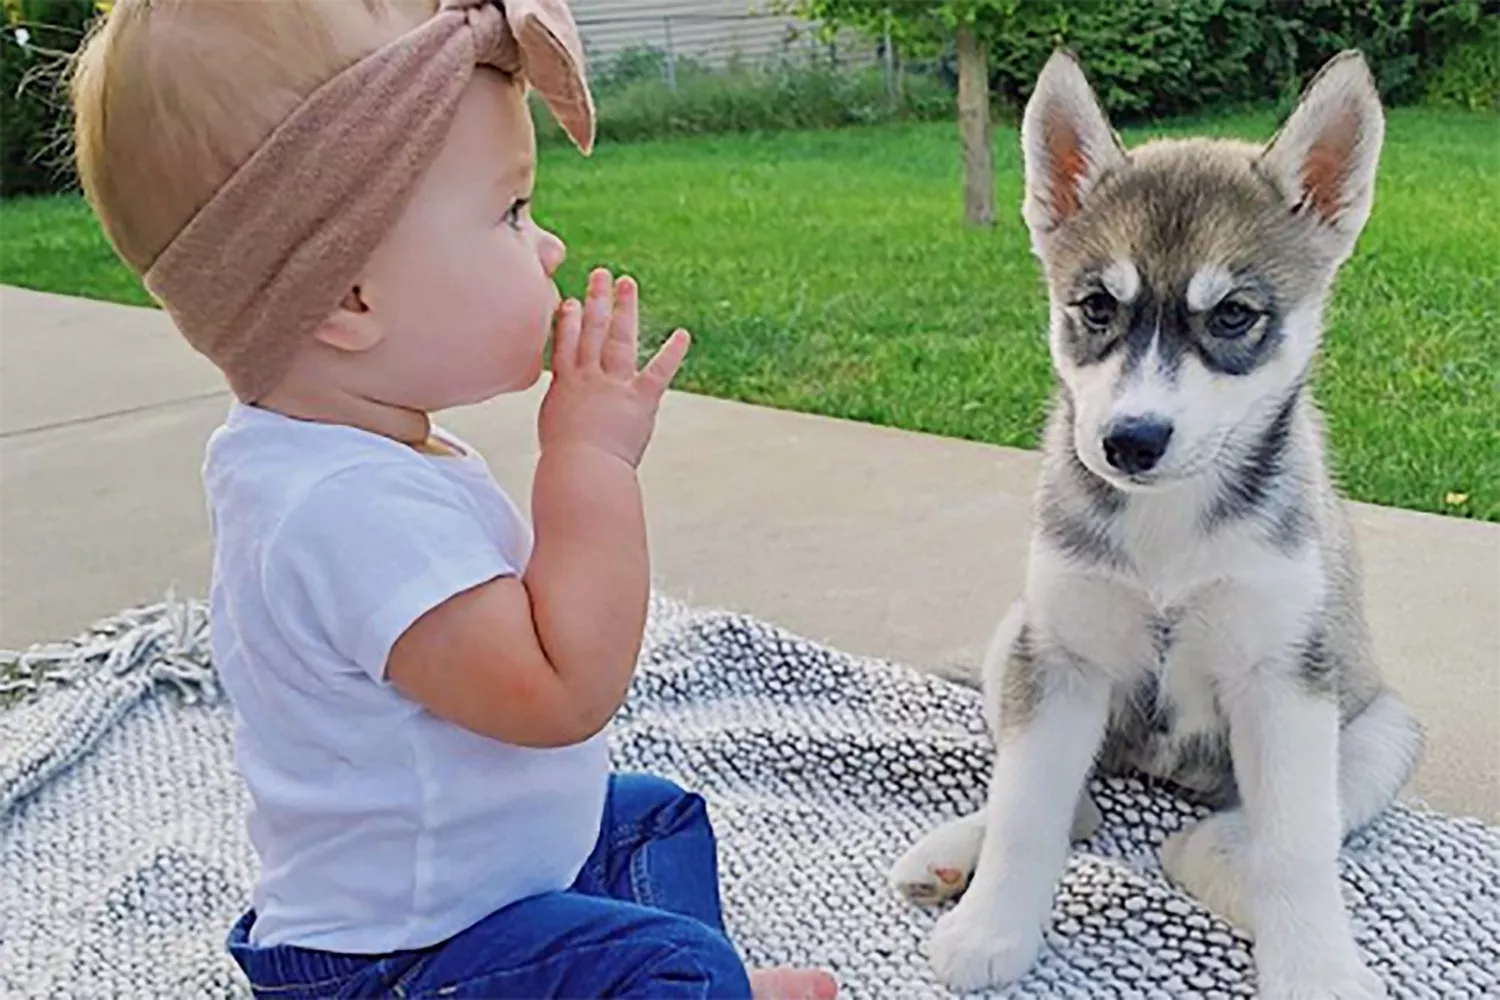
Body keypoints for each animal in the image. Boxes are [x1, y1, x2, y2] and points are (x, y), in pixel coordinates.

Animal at [894, 52, 1422, 1000]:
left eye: (1234, 315)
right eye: (1097, 307)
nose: (1130, 441)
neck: (1169, 524)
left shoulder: (1283, 679)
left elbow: (1296, 849)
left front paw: (1316, 967)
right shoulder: (1060, 656)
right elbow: (1027, 807)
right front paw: (993, 926)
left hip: (1378, 731)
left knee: (1236, 839)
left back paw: (1221, 871)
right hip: (1017, 637)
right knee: (1070, 804)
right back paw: (958, 854)